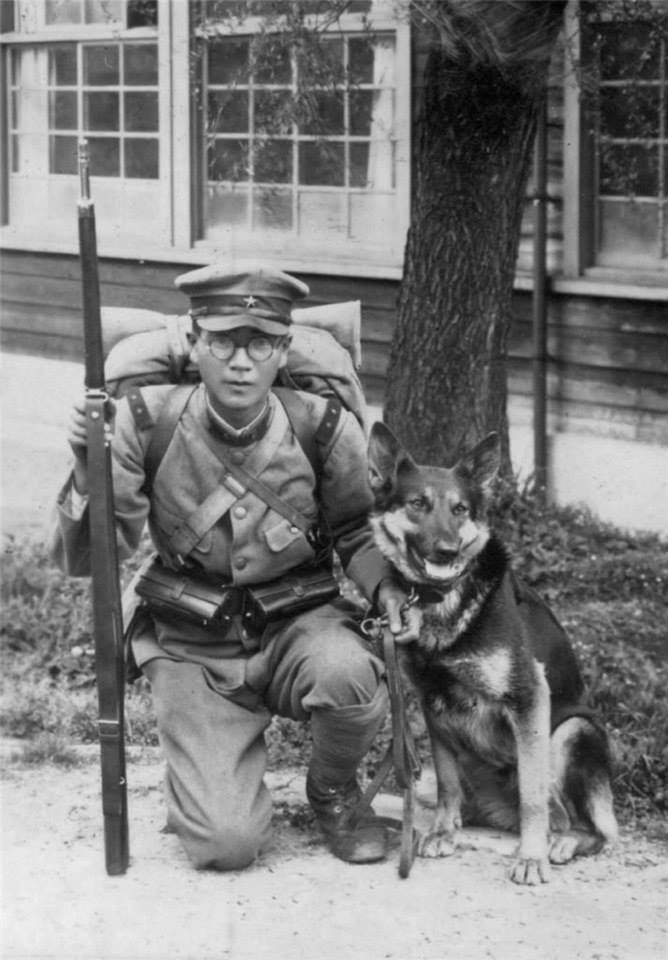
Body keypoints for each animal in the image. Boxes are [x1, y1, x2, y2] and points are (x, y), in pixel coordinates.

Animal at [368, 424, 620, 888]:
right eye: (417, 504)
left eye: (460, 509)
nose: (447, 551)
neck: (441, 601)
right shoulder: (433, 707)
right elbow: (447, 781)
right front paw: (442, 832)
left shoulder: (529, 697)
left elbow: (533, 797)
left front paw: (530, 857)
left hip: (571, 730)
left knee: (585, 825)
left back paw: (562, 843)